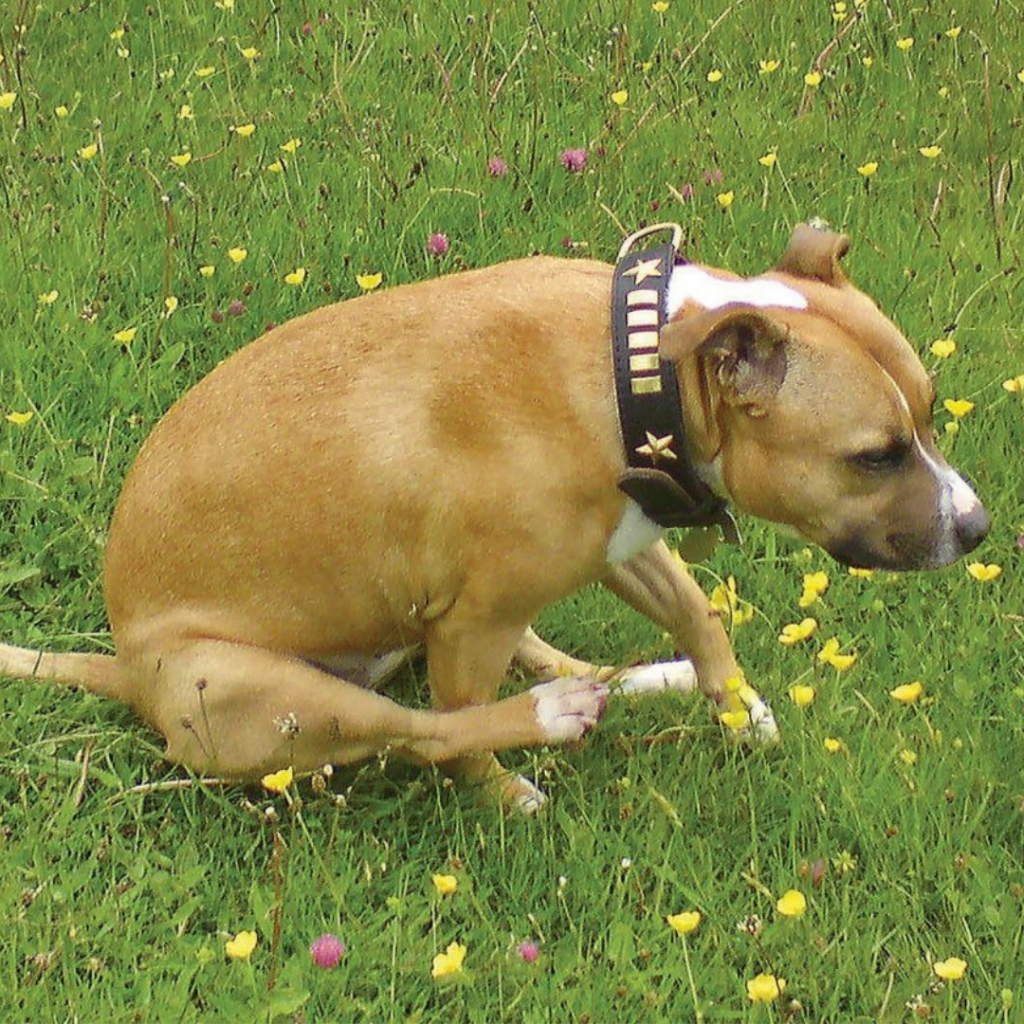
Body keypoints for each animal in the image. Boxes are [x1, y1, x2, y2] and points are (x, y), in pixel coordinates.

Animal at [0, 222, 991, 806]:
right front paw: (505, 792)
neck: (637, 371)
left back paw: (631, 679)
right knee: (422, 731)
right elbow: (459, 734)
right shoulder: (469, 623)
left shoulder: (625, 536)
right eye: (875, 455)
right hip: (266, 693)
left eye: (929, 412)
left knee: (550, 662)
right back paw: (546, 719)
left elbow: (698, 614)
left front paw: (736, 708)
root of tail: (127, 670)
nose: (979, 529)